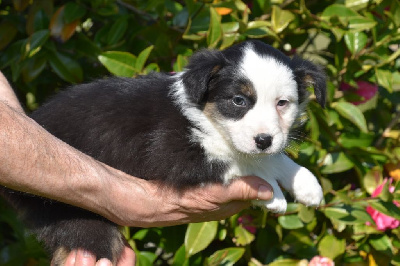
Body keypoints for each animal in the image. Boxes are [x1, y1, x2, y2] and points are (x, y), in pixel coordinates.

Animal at [0, 40, 324, 264]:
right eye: (238, 101)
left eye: (282, 103)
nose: (264, 139)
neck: (202, 112)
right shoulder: (169, 153)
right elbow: (241, 161)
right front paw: (273, 194)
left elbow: (272, 157)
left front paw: (306, 184)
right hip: (73, 216)